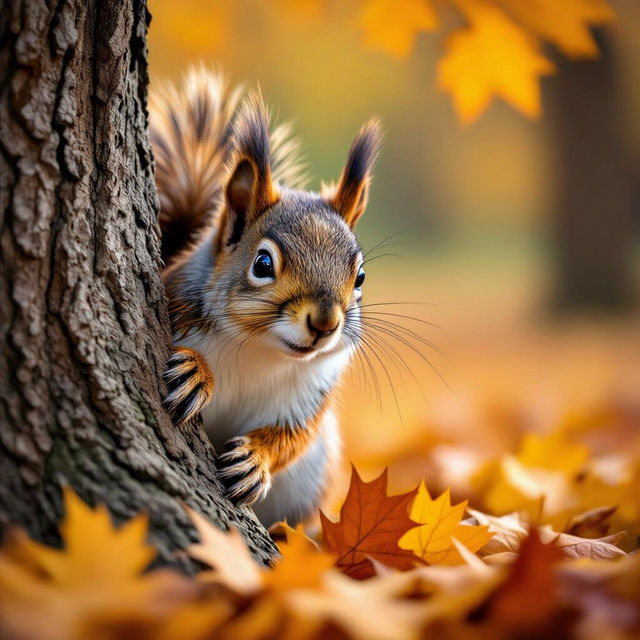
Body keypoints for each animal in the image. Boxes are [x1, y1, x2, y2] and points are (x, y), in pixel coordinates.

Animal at [149, 66, 382, 526]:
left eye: (360, 276)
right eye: (262, 264)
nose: (325, 323)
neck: (259, 350)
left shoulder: (310, 393)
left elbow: (292, 438)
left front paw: (255, 460)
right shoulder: (176, 307)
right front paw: (196, 373)